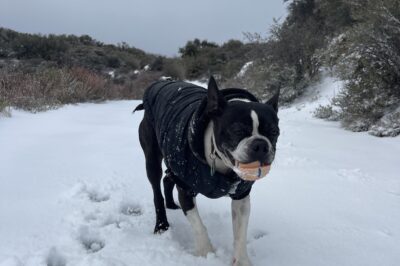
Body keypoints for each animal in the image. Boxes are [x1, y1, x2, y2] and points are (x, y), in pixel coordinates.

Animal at [134, 76, 278, 266]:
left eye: (274, 131)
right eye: (237, 130)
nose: (260, 144)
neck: (220, 163)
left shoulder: (241, 196)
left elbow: (240, 232)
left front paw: (241, 261)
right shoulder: (186, 189)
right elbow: (198, 225)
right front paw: (206, 253)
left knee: (168, 178)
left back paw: (171, 204)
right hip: (152, 158)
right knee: (157, 189)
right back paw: (161, 224)